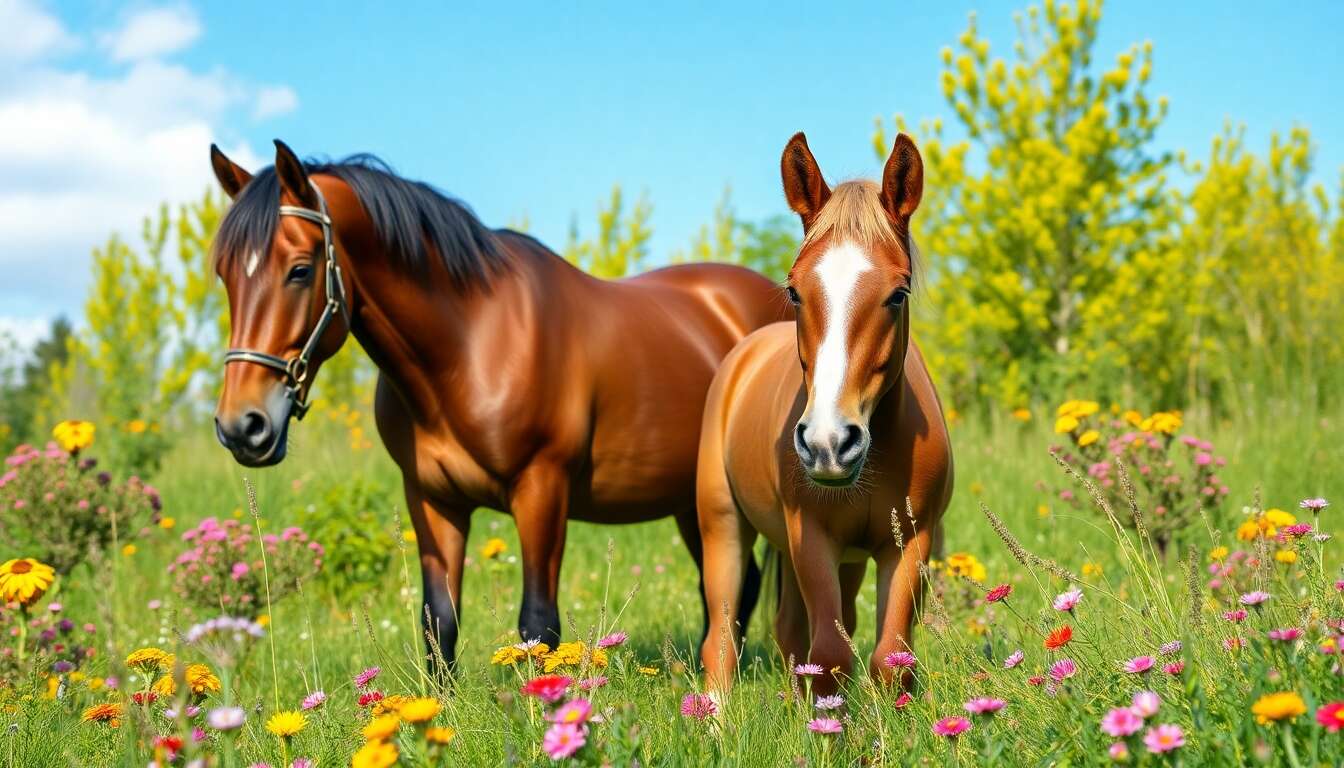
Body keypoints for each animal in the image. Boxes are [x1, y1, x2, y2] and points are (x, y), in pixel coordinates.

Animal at [208, 140, 791, 669]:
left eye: (300, 270)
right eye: (225, 274)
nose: (242, 427)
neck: (468, 345)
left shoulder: (541, 489)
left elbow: (539, 624)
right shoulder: (432, 500)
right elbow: (438, 621)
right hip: (692, 501)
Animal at [696, 132, 953, 697]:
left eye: (898, 293)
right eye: (795, 290)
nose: (828, 445)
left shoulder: (909, 542)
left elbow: (889, 657)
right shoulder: (811, 537)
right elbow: (830, 656)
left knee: (791, 630)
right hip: (724, 528)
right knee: (722, 640)